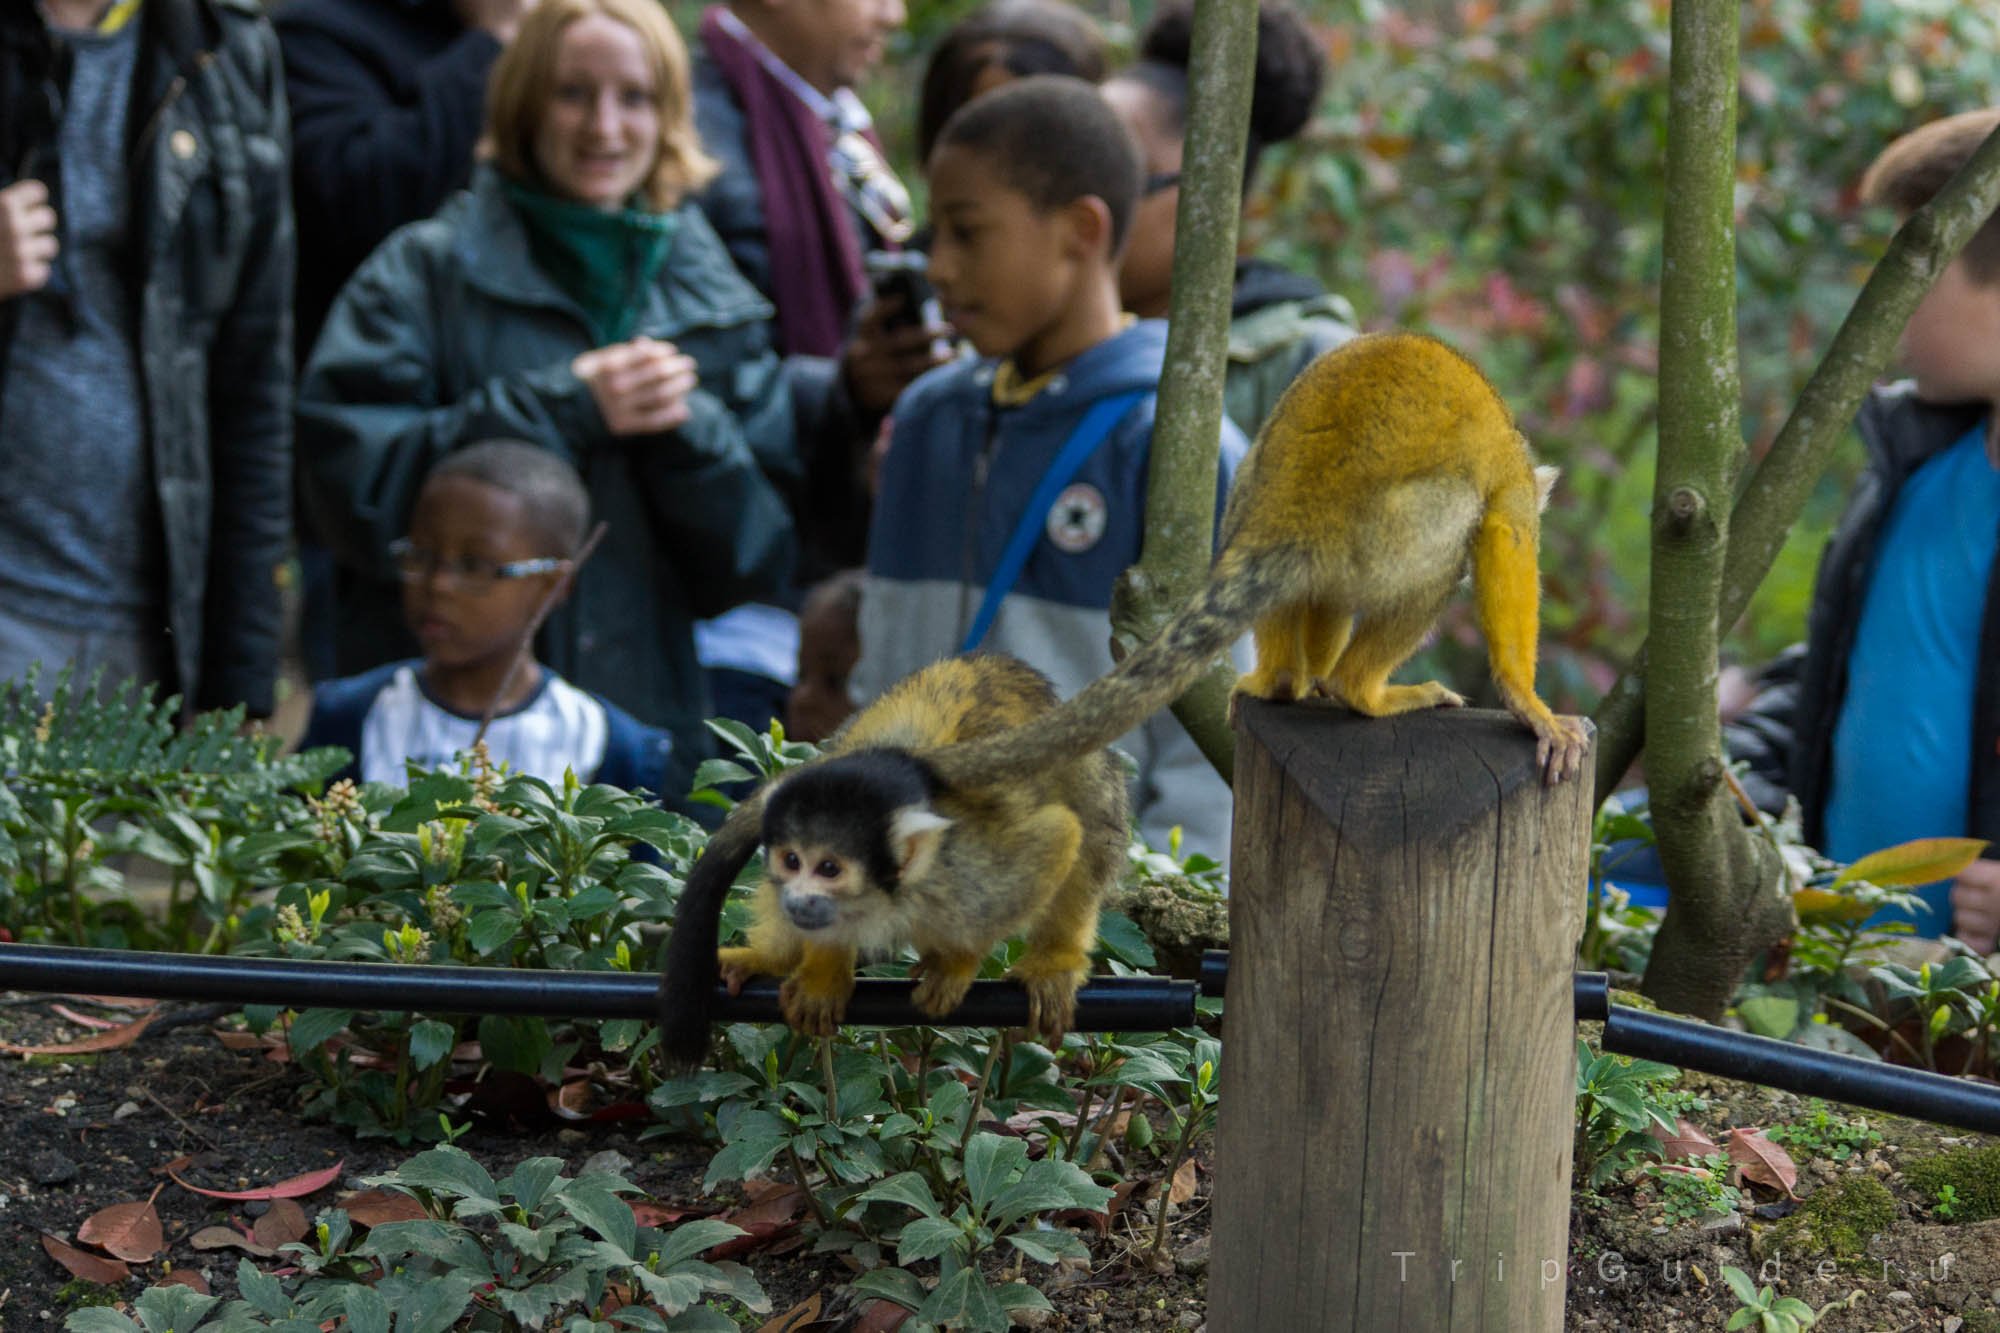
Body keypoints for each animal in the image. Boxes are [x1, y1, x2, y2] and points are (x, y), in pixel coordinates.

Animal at [656, 330, 1588, 1069]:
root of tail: (1290, 516)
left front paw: (1302, 683)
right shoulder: (1509, 481)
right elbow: (1505, 537)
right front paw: (1531, 704)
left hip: (1254, 495)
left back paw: (1287, 683)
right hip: (1395, 527)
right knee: (1453, 536)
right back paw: (1361, 693)